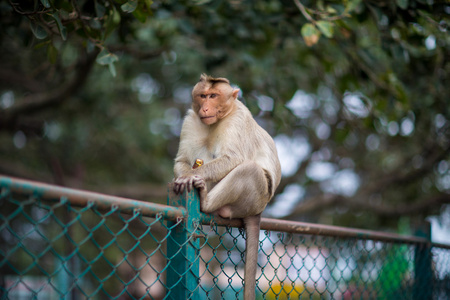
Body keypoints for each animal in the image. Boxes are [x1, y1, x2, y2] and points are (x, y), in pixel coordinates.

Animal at [172, 74, 282, 298]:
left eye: (214, 96)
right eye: (203, 96)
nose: (206, 108)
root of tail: (259, 211)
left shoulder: (237, 119)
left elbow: (233, 159)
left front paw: (187, 179)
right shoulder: (190, 120)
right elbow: (182, 160)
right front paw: (185, 176)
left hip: (256, 198)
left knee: (250, 169)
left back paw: (206, 201)